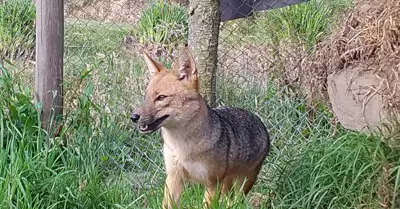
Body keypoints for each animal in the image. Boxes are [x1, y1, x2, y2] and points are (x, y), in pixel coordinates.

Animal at [131, 47, 272, 209]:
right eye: (146, 97)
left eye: (161, 97)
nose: (133, 117)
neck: (182, 147)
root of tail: (257, 118)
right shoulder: (174, 178)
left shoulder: (212, 183)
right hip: (227, 184)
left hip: (242, 185)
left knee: (235, 201)